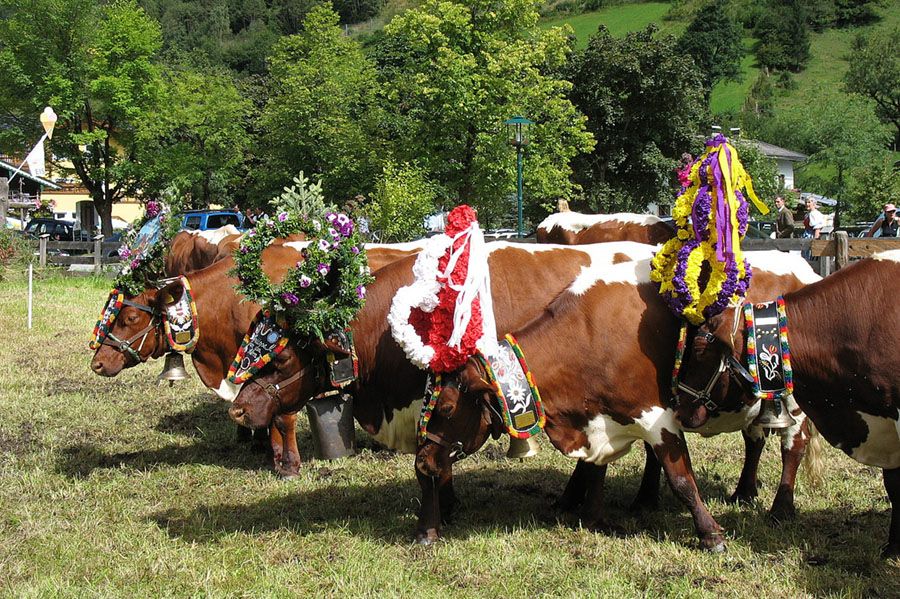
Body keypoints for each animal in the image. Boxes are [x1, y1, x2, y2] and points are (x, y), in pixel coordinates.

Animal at [672, 252, 900, 556]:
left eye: (698, 349)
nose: (680, 406)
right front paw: (894, 547)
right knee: (756, 439)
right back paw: (744, 492)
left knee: (792, 444)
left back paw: (780, 508)